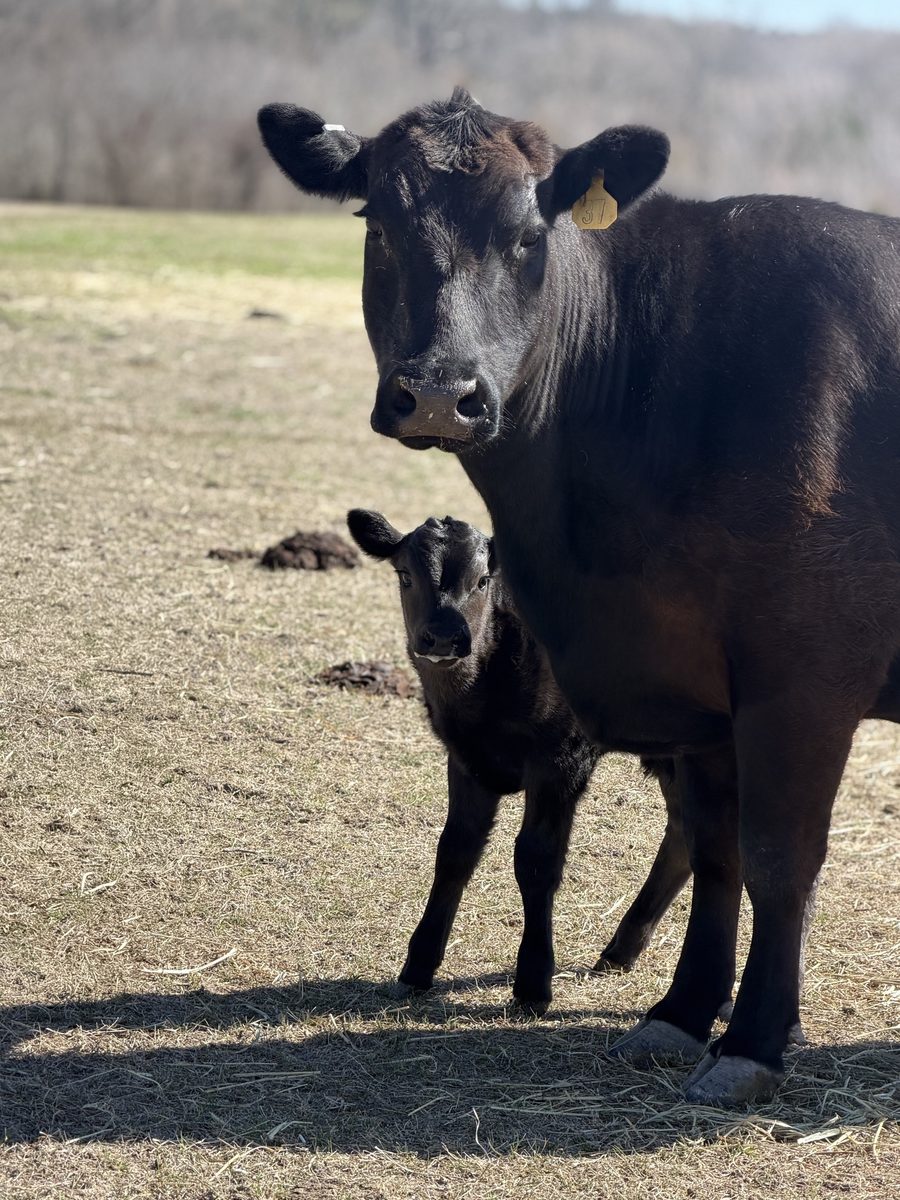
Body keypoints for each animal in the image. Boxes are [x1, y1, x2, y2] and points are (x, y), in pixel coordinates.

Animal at [347, 508, 696, 1016]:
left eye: (483, 580)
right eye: (405, 574)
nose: (444, 637)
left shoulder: (561, 758)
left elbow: (535, 859)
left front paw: (533, 982)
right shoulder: (466, 759)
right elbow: (455, 850)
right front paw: (418, 967)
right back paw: (620, 951)